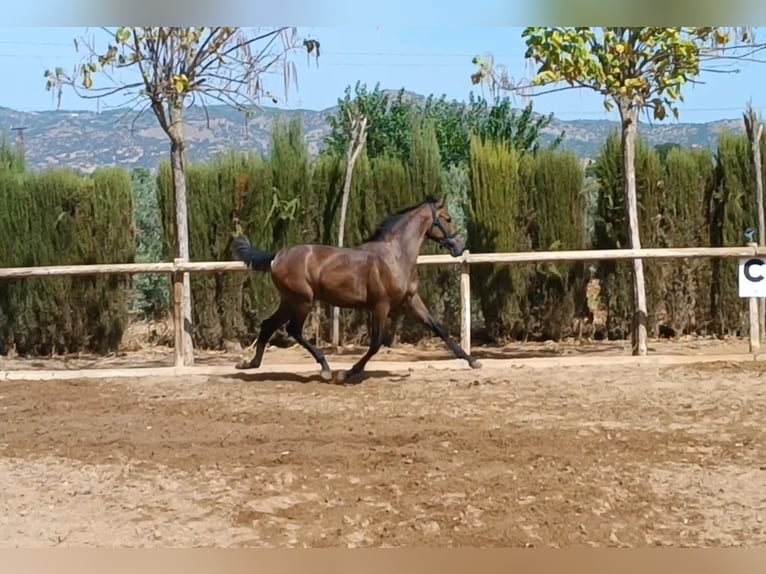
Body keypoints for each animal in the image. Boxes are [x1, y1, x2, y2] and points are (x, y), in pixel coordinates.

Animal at [231, 196, 484, 384]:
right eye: (448, 218)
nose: (459, 246)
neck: (396, 256)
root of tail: (277, 256)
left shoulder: (411, 300)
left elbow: (439, 328)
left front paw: (473, 361)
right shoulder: (380, 305)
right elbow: (375, 343)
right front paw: (347, 373)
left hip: (289, 301)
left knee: (268, 325)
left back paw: (250, 364)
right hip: (302, 301)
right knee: (294, 330)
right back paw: (325, 369)